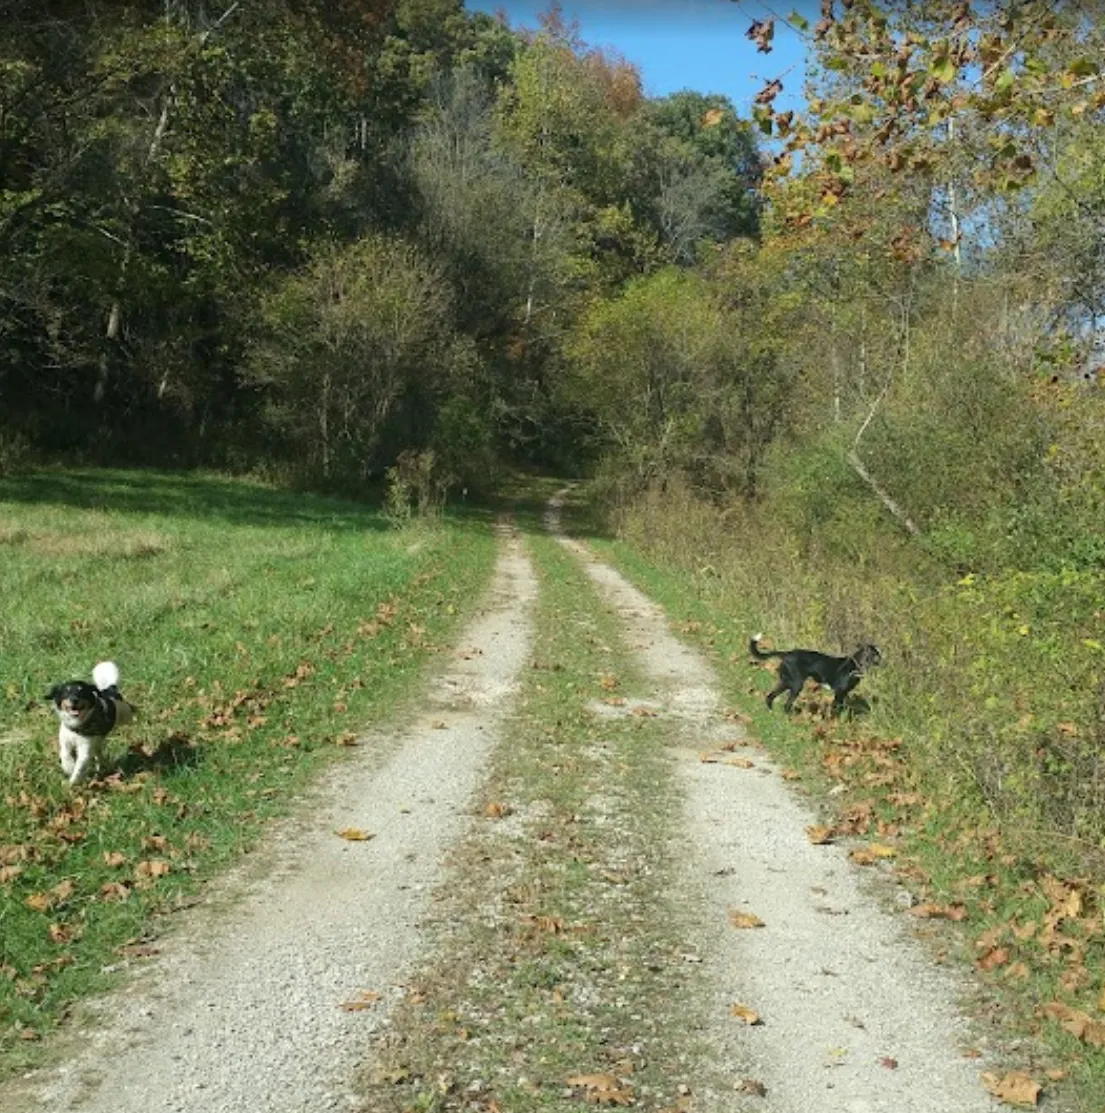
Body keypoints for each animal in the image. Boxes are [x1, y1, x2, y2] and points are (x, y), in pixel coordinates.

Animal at [752, 636, 881, 712]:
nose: (883, 662)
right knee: (786, 705)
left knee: (770, 697)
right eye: (876, 656)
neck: (854, 666)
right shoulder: (839, 693)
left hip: (786, 681)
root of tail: (787, 653)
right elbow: (835, 711)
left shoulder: (844, 694)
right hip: (796, 684)